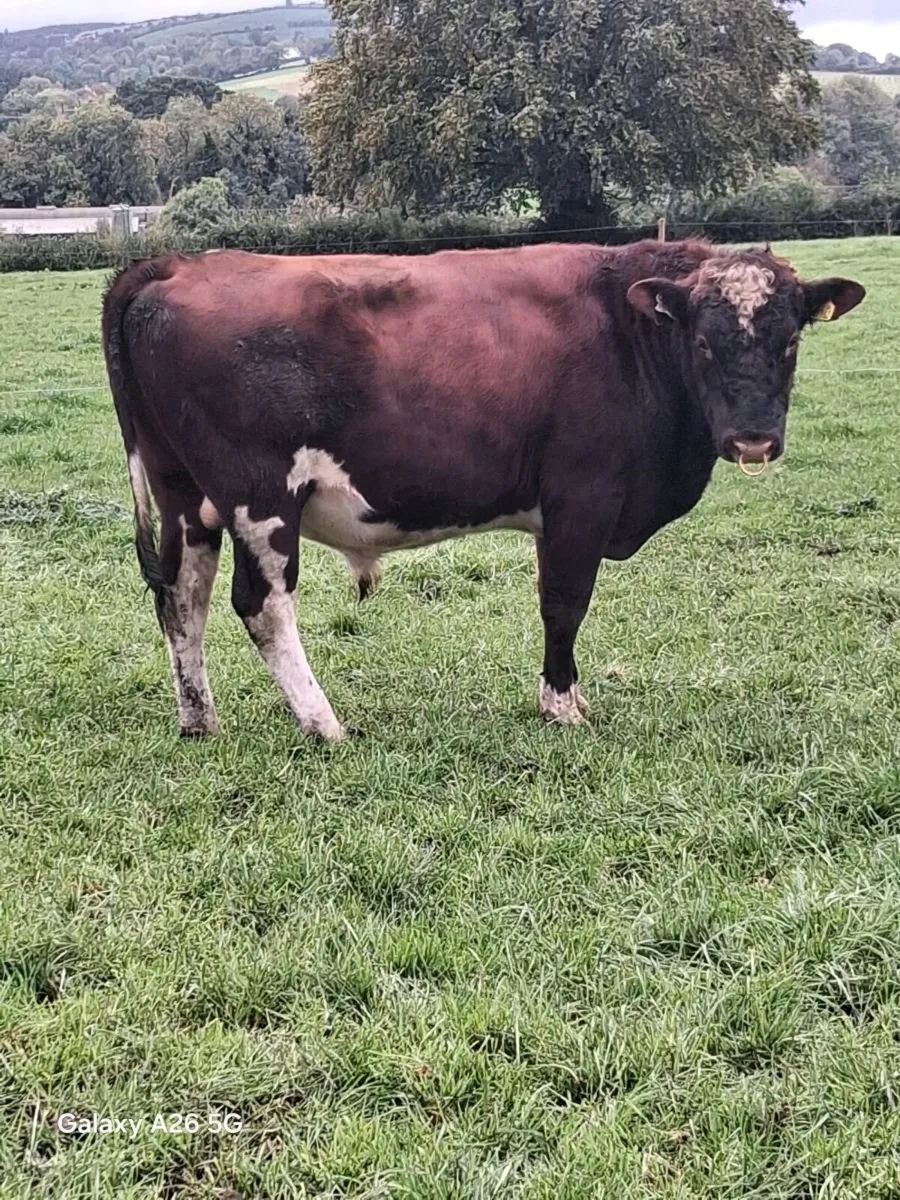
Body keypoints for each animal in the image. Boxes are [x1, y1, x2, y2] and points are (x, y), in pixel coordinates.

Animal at [101, 240, 864, 740]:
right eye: (704, 342)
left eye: (791, 339)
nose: (753, 439)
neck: (629, 334)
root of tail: (177, 263)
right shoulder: (581, 499)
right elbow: (564, 604)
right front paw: (561, 706)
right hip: (260, 498)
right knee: (258, 605)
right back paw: (324, 723)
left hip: (185, 497)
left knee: (182, 598)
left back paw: (199, 717)